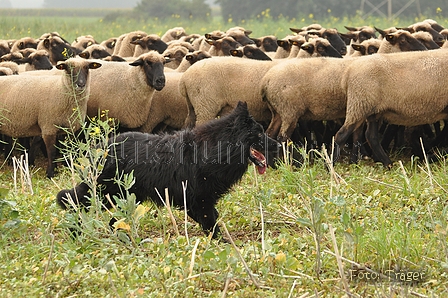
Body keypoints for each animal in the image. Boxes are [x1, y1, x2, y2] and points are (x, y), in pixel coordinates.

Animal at [56, 101, 280, 239]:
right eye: (259, 134)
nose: (278, 145)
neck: (217, 149)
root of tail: (100, 149)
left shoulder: (196, 202)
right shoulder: (201, 201)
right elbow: (212, 225)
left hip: (128, 196)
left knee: (114, 221)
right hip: (105, 193)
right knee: (76, 204)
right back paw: (75, 231)